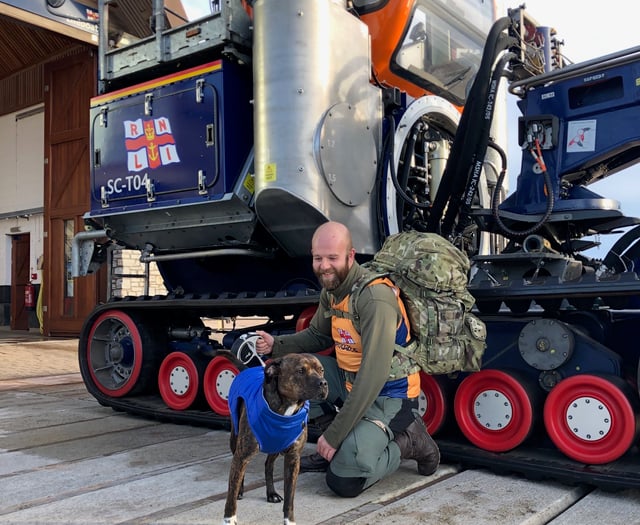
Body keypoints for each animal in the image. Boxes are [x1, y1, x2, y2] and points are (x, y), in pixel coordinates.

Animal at [222, 352, 328, 524]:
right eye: (300, 371)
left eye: (321, 370)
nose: (323, 383)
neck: (286, 409)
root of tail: (247, 369)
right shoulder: (242, 454)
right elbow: (231, 494)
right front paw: (229, 518)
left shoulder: (293, 459)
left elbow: (289, 499)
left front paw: (289, 520)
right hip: (235, 440)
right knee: (239, 472)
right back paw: (240, 490)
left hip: (276, 445)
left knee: (268, 465)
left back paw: (271, 493)